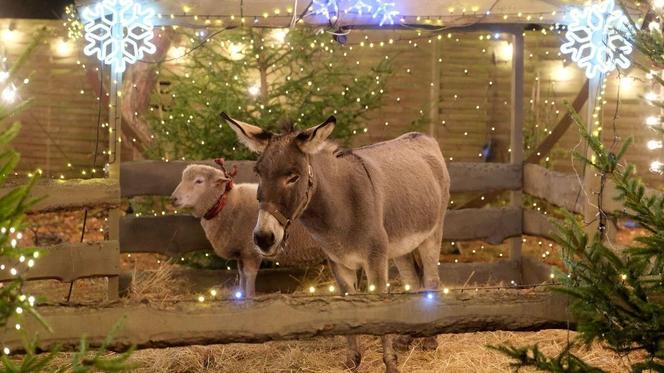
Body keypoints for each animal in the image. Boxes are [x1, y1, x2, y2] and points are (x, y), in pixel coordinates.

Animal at [170, 163, 322, 296]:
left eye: (199, 181)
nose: (173, 199)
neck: (227, 204)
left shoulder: (251, 251)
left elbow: (249, 276)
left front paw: (249, 297)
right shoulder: (241, 252)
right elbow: (241, 275)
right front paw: (241, 295)